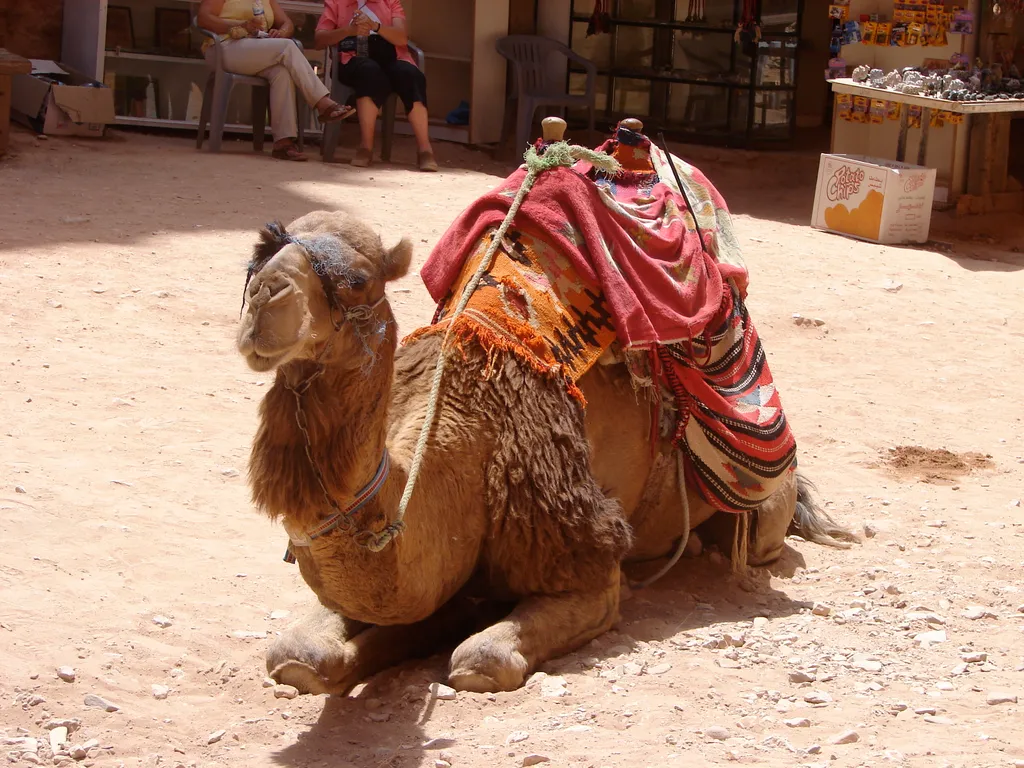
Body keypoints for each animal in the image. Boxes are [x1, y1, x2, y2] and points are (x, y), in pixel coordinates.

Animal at [236, 209, 855, 696]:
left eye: (359, 279)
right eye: (259, 255)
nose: (266, 297)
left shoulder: (585, 563)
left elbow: (480, 660)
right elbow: (297, 656)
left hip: (764, 516)